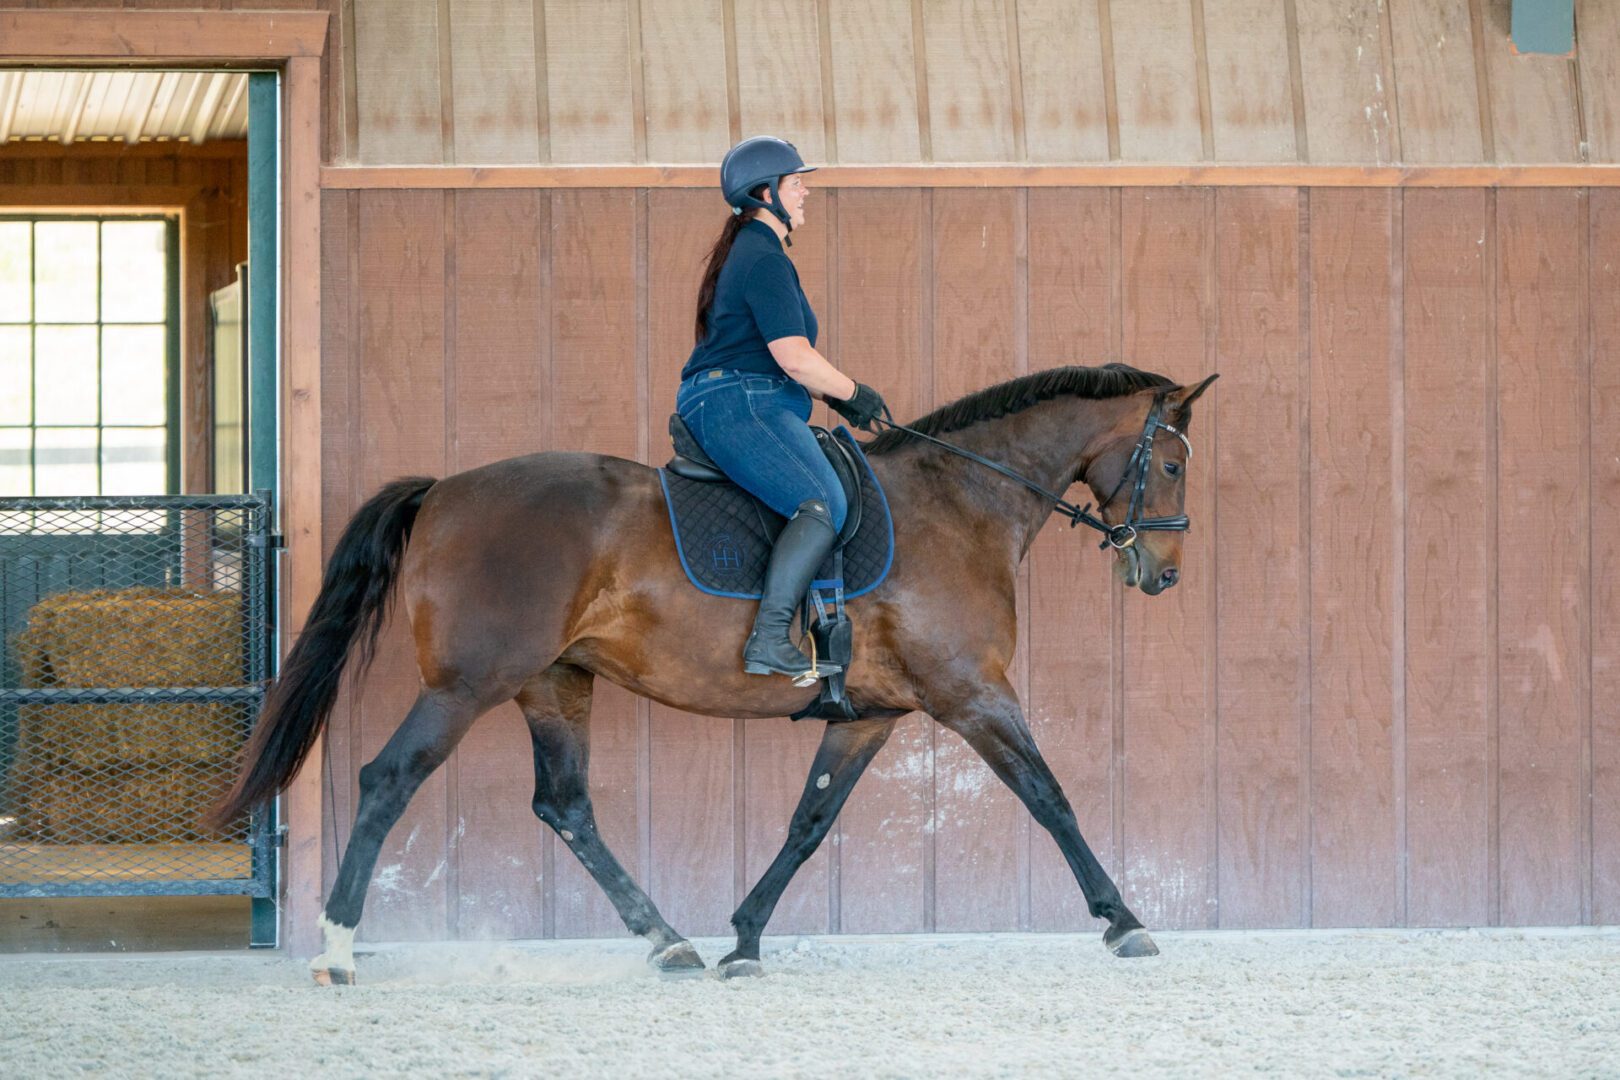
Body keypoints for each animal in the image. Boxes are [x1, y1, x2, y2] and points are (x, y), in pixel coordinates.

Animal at [213, 362, 1218, 984]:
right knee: (390, 780)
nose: (1163, 573)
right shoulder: (972, 696)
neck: (959, 505)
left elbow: (809, 823)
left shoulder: (871, 715)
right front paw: (1124, 921)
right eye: (1171, 462)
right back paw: (337, 950)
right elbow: (1051, 798)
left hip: (555, 682)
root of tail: (444, 492)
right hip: (468, 685)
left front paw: (744, 938)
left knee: (565, 806)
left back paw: (667, 942)